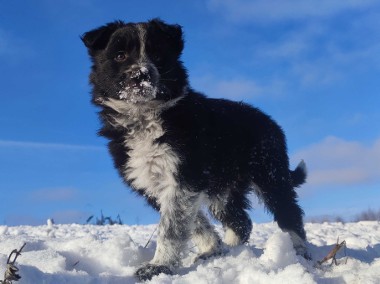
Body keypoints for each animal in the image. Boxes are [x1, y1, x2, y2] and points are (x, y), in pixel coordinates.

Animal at [81, 18, 308, 280]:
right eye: (120, 55)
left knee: (288, 212)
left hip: (269, 174)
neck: (145, 116)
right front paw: (211, 248)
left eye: (157, 55)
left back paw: (299, 252)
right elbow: (192, 221)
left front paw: (159, 266)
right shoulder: (156, 183)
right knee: (241, 221)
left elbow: (171, 227)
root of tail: (270, 122)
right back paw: (231, 252)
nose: (141, 75)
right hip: (224, 189)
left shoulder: (184, 176)